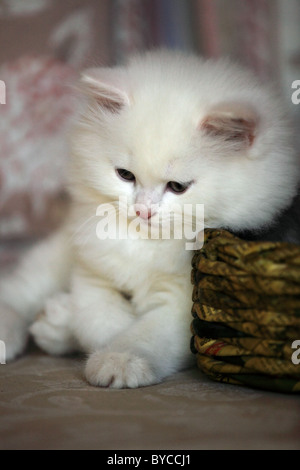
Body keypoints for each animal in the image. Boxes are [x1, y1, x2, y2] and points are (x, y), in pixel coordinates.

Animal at [0, 50, 300, 390]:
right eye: (125, 175)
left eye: (177, 187)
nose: (143, 210)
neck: (147, 244)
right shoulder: (91, 274)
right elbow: (99, 321)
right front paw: (89, 334)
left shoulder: (184, 308)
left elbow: (140, 333)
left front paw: (117, 359)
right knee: (20, 289)